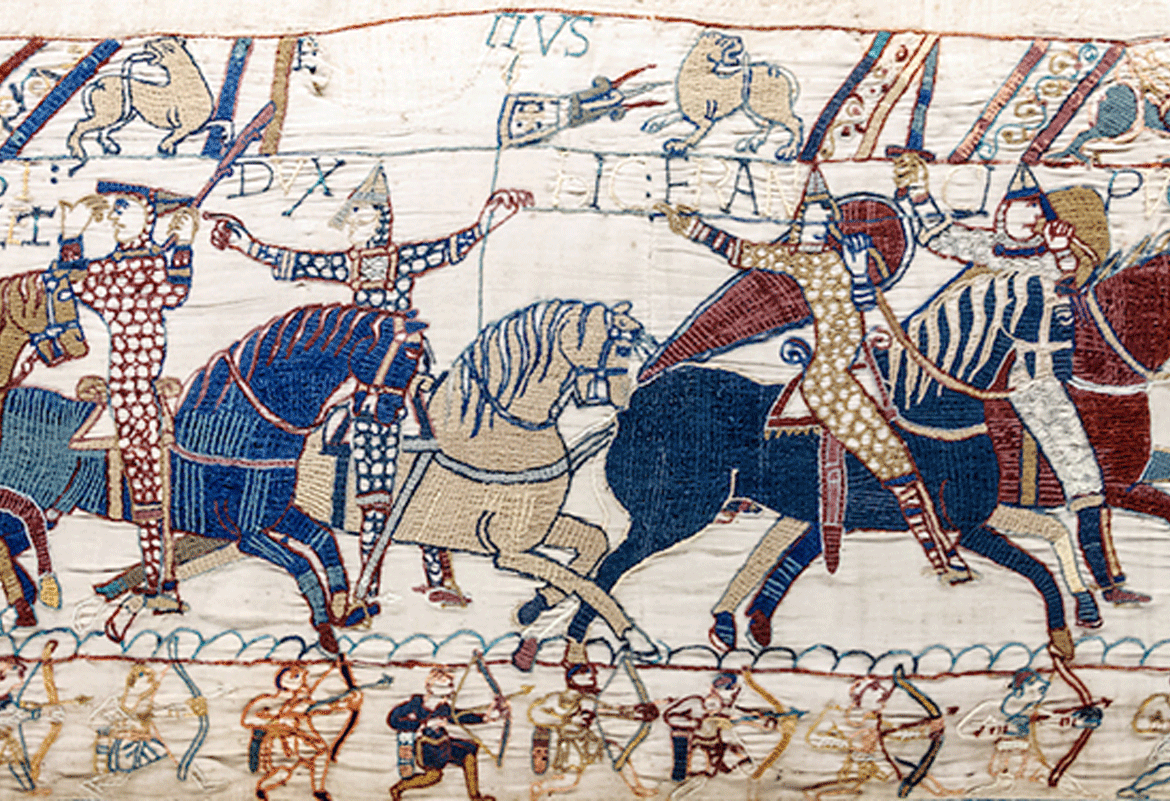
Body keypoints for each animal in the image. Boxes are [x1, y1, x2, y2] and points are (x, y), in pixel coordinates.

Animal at [0, 303, 417, 652]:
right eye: (405, 357)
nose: (391, 413)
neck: (242, 426)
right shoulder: (249, 534)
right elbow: (301, 564)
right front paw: (326, 629)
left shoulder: (275, 514)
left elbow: (323, 540)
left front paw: (347, 607)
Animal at [67, 38, 214, 161]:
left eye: (162, 42)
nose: (146, 43)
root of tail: (98, 82)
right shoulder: (186, 124)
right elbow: (175, 136)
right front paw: (165, 147)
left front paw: (170, 150)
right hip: (111, 113)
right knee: (81, 125)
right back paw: (78, 152)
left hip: (125, 114)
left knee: (102, 132)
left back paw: (110, 147)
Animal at [355, 299, 649, 649]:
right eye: (621, 347)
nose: (626, 395)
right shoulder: (508, 549)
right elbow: (580, 580)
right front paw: (633, 634)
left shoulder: (538, 527)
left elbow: (593, 543)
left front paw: (534, 606)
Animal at [642, 31, 803, 160]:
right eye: (723, 41)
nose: (739, 38)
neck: (699, 76)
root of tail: (777, 70)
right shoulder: (687, 111)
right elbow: (671, 114)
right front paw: (655, 122)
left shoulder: (706, 121)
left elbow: (693, 135)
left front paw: (679, 144)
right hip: (751, 106)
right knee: (768, 124)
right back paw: (751, 141)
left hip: (764, 104)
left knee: (795, 122)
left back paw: (789, 150)